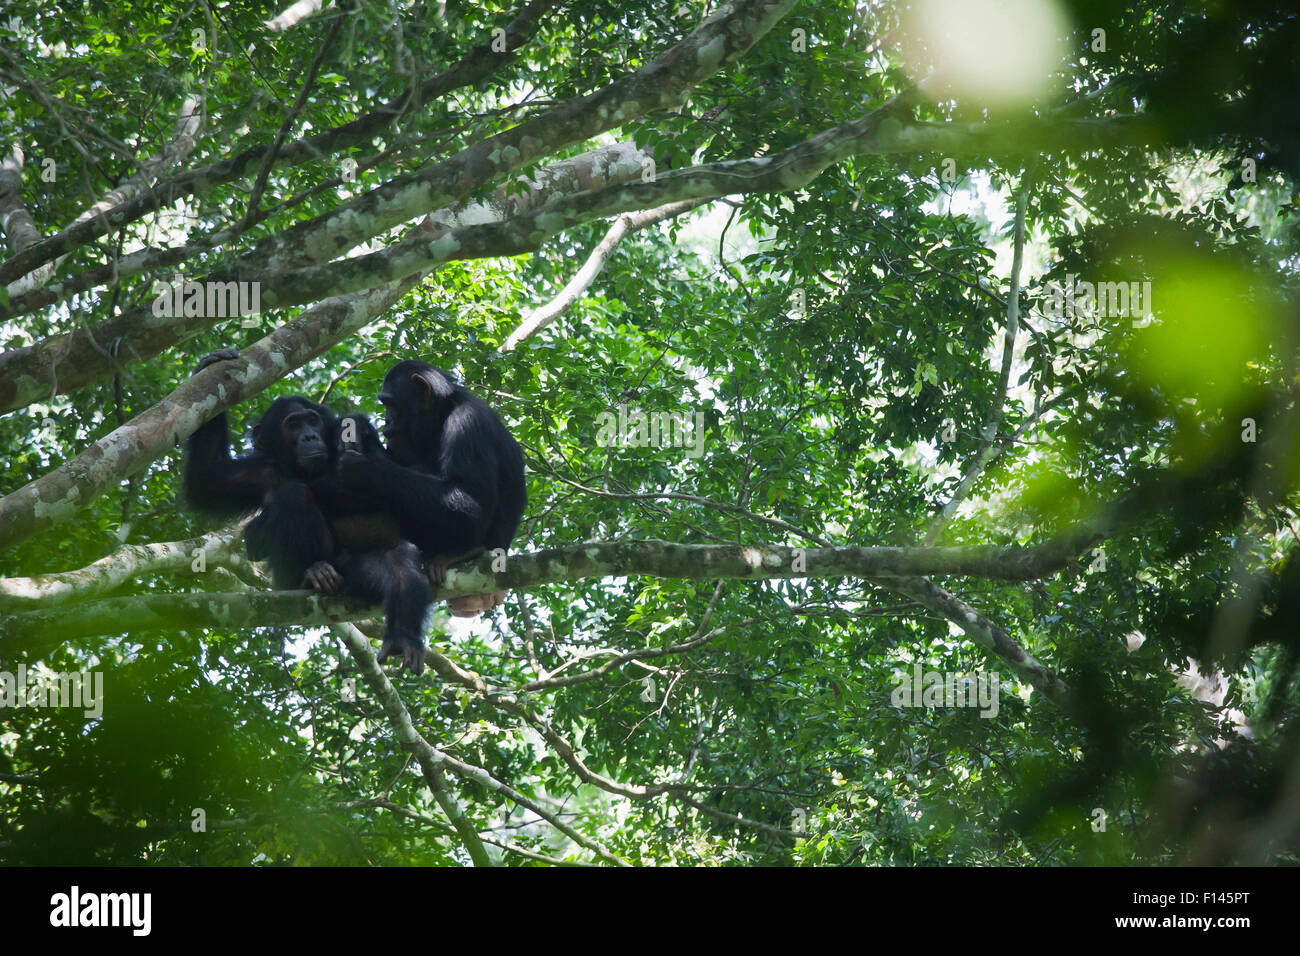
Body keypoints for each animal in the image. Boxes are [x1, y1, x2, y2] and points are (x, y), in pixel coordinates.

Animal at [180, 348, 434, 671]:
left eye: (312, 420)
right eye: (293, 424)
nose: (310, 436)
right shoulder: (257, 473)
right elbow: (205, 479)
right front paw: (211, 363)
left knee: (398, 560)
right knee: (295, 495)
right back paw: (312, 573)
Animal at [335, 358, 527, 606]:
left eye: (390, 403)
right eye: (384, 404)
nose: (386, 420)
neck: (443, 414)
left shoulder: (467, 425)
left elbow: (472, 503)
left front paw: (362, 470)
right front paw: (358, 428)